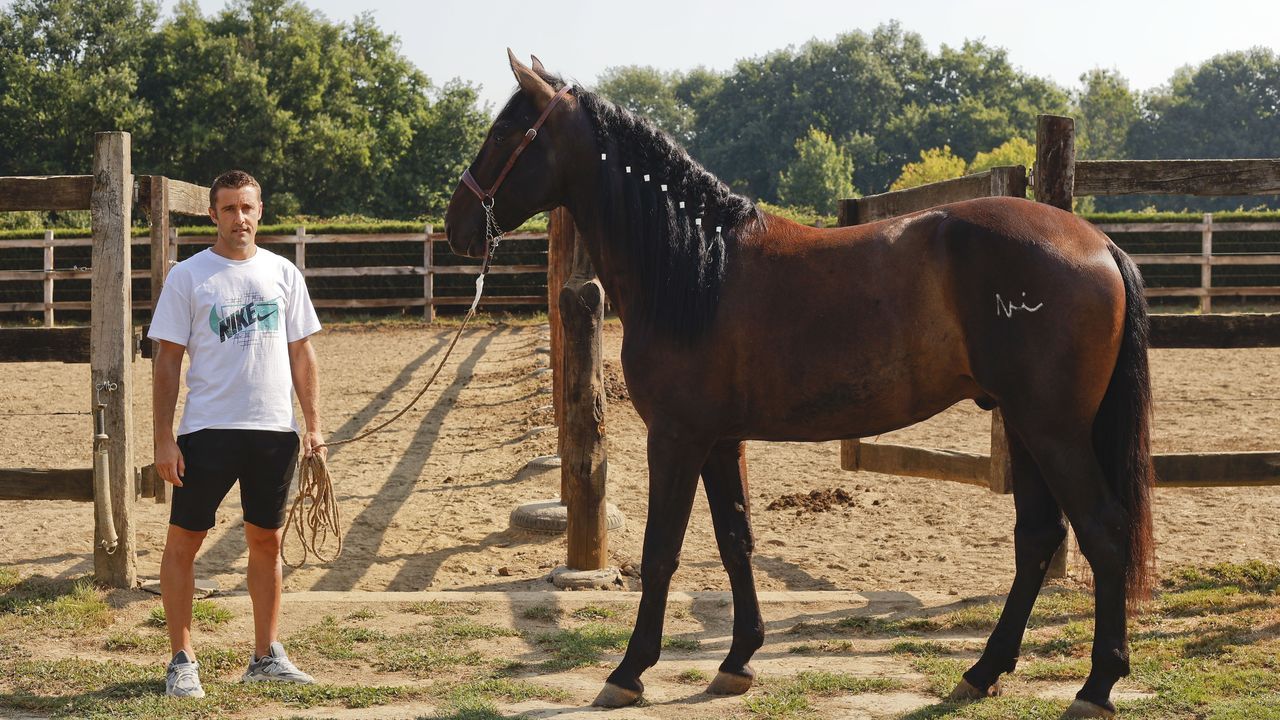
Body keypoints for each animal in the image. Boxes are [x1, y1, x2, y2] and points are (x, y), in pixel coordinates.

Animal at [445, 51, 1155, 719]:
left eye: (505, 133)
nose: (456, 225)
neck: (696, 269)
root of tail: (1100, 245)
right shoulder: (719, 440)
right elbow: (735, 540)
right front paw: (736, 661)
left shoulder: (675, 438)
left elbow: (660, 552)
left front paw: (629, 672)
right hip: (1023, 424)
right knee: (1038, 537)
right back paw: (982, 673)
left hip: (1052, 429)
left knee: (1103, 530)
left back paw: (1095, 686)